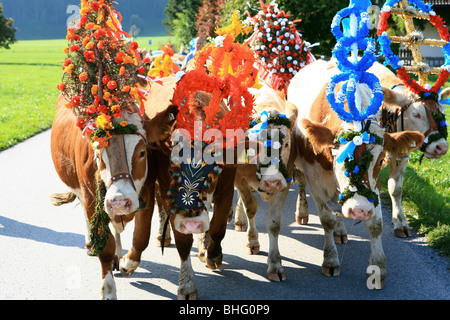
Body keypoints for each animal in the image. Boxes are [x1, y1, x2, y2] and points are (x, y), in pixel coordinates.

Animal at [49, 94, 176, 298]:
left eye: (142, 153)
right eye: (98, 154)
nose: (119, 202)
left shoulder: (147, 191)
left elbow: (141, 236)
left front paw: (126, 264)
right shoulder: (91, 198)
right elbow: (105, 249)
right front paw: (108, 290)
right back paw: (91, 244)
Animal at [232, 81, 298, 282]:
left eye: (286, 144)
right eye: (256, 146)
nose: (272, 182)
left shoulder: (285, 183)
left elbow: (274, 223)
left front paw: (275, 264)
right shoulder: (239, 178)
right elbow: (251, 208)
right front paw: (252, 241)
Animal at [286, 60, 424, 288]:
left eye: (380, 160)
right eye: (340, 157)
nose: (359, 211)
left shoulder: (373, 185)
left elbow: (375, 224)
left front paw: (377, 267)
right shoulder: (316, 179)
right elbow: (326, 220)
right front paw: (330, 260)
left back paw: (341, 229)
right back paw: (304, 213)